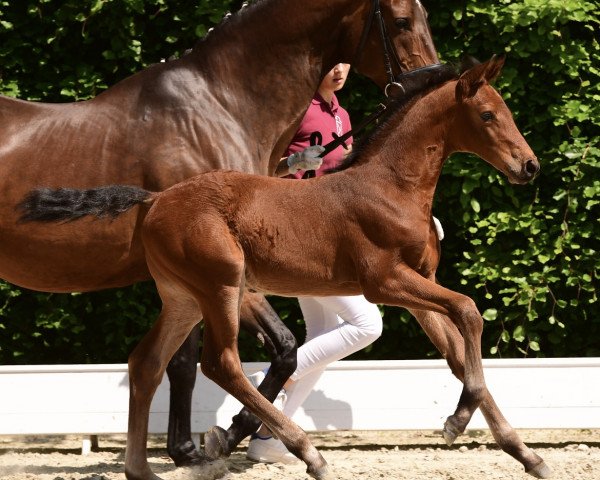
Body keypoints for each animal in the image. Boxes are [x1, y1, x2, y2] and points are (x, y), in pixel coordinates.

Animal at [0, 0, 440, 466]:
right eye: (401, 21)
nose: (433, 83)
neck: (220, 107)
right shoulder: (217, 276)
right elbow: (204, 360)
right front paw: (205, 444)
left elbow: (274, 351)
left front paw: (210, 441)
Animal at [18, 56, 552, 480]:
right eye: (487, 114)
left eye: (506, 111)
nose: (529, 166)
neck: (392, 187)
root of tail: (154, 199)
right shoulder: (384, 282)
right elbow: (469, 310)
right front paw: (457, 421)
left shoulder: (421, 286)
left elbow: (459, 352)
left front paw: (524, 453)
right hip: (222, 284)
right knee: (220, 362)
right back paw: (306, 453)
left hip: (183, 296)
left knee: (146, 363)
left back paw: (143, 470)